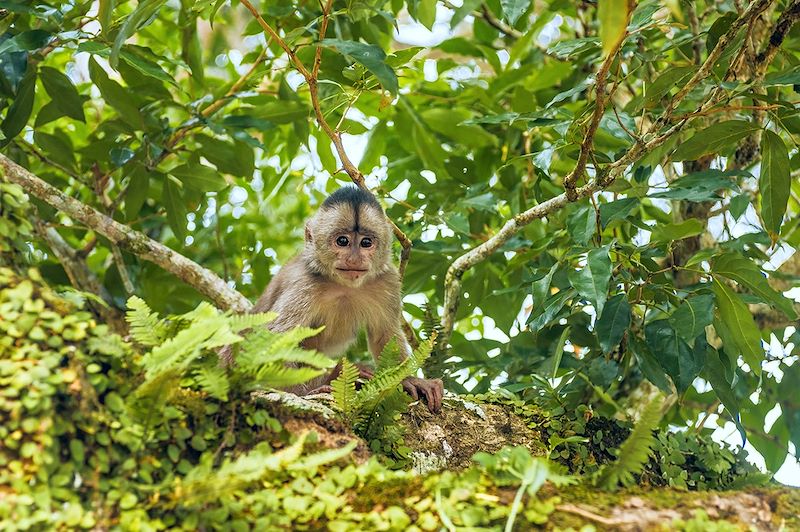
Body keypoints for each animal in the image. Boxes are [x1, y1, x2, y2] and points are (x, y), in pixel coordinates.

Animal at [252, 188, 444, 416]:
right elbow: (274, 338)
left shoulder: (388, 280)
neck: (343, 285)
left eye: (366, 243)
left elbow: (384, 334)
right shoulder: (304, 283)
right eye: (342, 241)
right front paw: (306, 391)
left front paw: (409, 380)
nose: (354, 259)